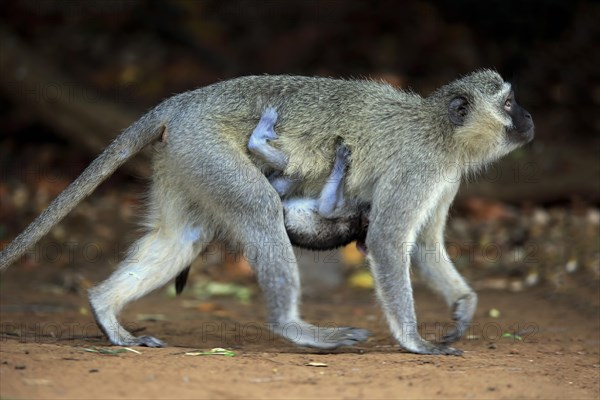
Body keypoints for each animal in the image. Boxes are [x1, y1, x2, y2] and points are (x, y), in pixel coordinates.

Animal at [0, 70, 536, 354]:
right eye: (510, 102)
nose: (530, 117)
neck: (441, 132)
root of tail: (185, 101)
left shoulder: (444, 176)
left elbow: (422, 244)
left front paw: (463, 306)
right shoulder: (420, 167)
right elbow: (387, 240)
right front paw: (415, 342)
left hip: (185, 155)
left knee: (182, 238)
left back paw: (105, 311)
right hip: (206, 146)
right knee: (259, 211)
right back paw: (296, 329)